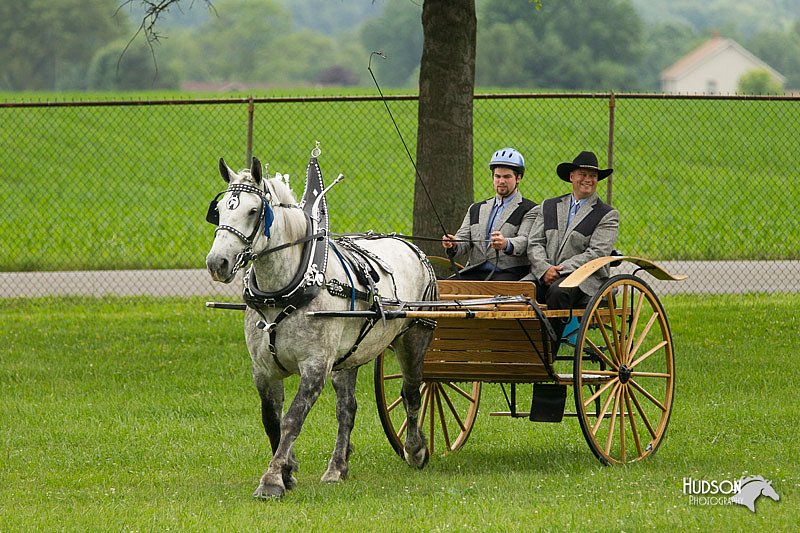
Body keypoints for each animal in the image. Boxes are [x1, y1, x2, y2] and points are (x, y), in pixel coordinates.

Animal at [203, 156, 434, 496]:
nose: (216, 263)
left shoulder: (315, 366)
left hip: (414, 336)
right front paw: (287, 471)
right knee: (347, 409)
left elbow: (292, 419)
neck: (281, 294)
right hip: (348, 356)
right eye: (219, 210)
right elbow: (271, 420)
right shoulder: (263, 369)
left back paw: (415, 449)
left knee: (412, 392)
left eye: (253, 211)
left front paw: (272, 479)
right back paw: (337, 467)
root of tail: (409, 245)